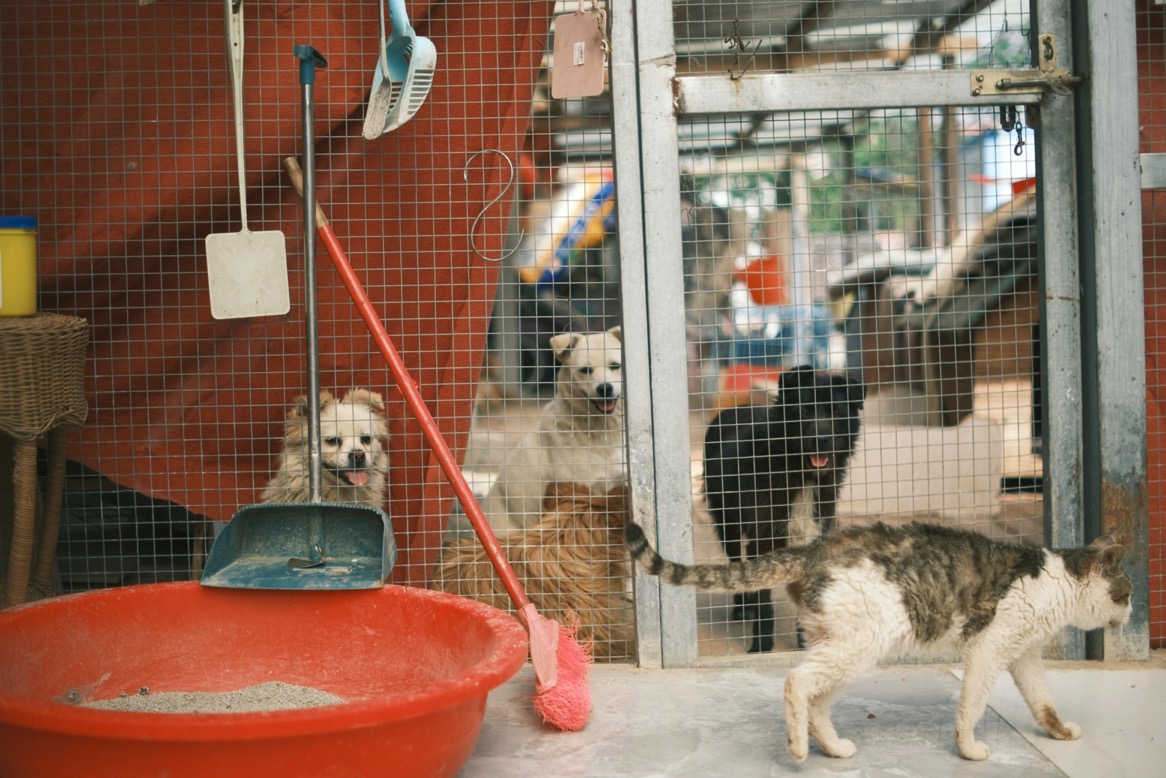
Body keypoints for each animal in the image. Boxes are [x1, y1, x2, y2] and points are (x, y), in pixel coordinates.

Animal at [624, 519, 1131, 762]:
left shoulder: (1023, 655)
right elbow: (971, 707)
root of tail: (812, 550)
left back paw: (832, 748)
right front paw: (969, 750)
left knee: (816, 700)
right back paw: (799, 750)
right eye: (1127, 593)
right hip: (863, 642)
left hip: (842, 645)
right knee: (795, 681)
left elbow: (1042, 701)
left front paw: (1059, 732)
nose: (1129, 615)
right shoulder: (989, 650)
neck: (1056, 580)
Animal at [703, 365, 864, 652]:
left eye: (837, 413)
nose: (821, 440)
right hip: (727, 527)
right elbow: (765, 605)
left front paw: (805, 643)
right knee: (736, 564)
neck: (801, 476)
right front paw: (760, 646)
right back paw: (743, 608)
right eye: (803, 412)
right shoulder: (761, 542)